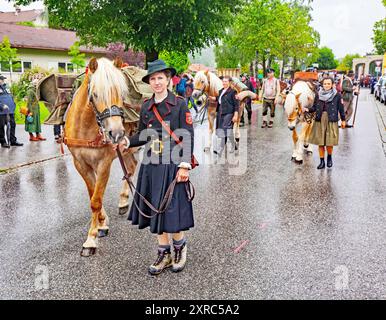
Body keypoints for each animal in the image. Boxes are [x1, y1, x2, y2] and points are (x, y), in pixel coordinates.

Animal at [62, 57, 136, 256]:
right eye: (95, 94)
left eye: (121, 93)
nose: (116, 132)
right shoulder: (80, 163)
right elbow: (93, 193)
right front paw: (101, 224)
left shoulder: (104, 163)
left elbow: (96, 199)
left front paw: (91, 239)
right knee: (131, 167)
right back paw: (123, 200)